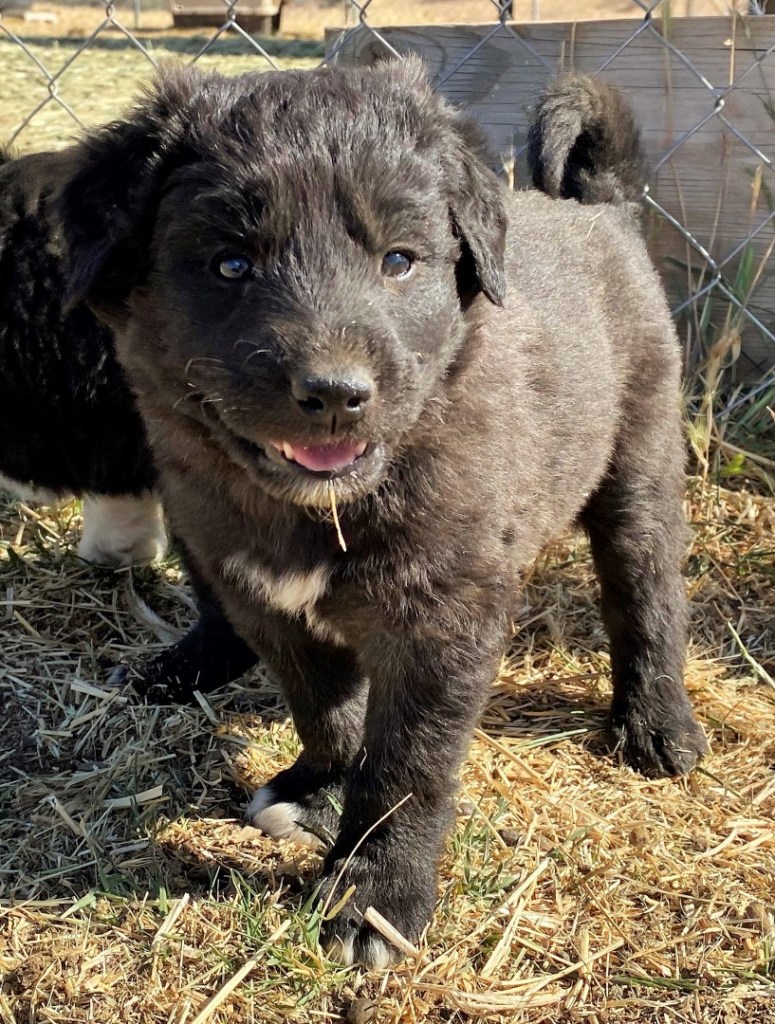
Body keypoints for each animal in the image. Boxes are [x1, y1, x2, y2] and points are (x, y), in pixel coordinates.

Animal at [52, 61, 708, 967]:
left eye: (399, 261)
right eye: (229, 264)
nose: (335, 393)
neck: (323, 508)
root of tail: (599, 209)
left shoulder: (442, 618)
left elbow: (407, 763)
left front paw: (376, 894)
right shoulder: (272, 605)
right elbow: (327, 715)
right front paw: (321, 791)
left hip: (637, 455)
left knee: (645, 592)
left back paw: (656, 725)